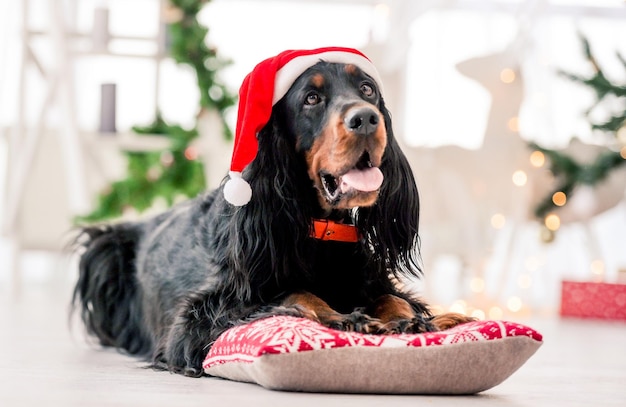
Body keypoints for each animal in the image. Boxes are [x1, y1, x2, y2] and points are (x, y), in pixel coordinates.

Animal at [72, 48, 472, 380]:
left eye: (367, 89)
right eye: (311, 98)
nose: (367, 119)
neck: (320, 229)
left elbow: (394, 297)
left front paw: (416, 319)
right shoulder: (196, 321)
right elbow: (292, 294)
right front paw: (343, 318)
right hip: (102, 249)